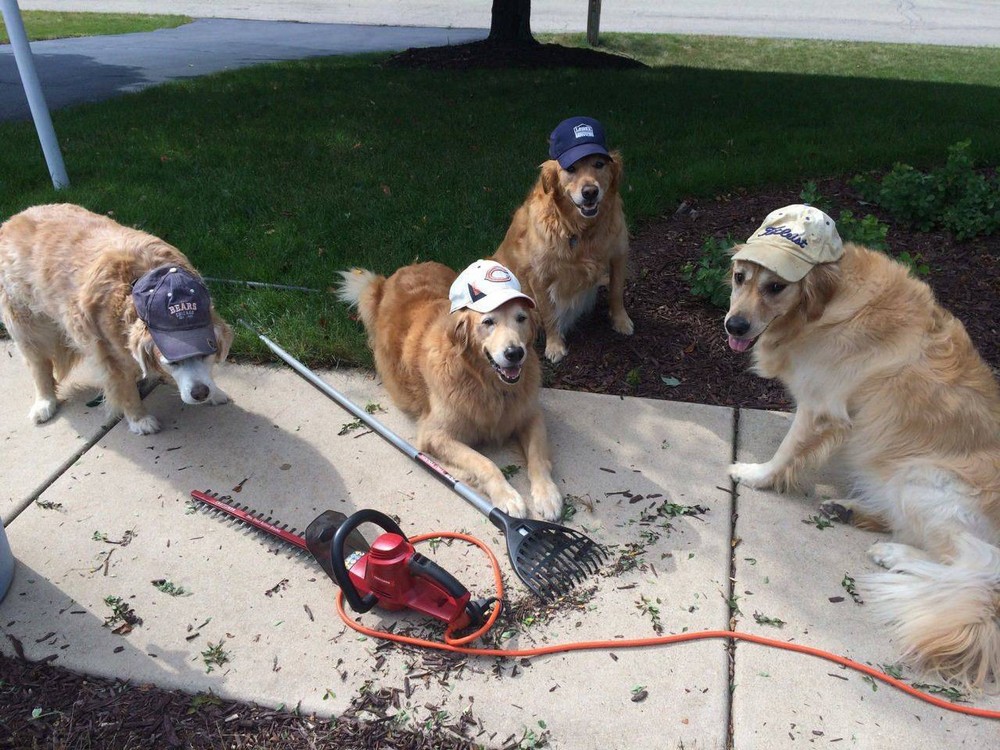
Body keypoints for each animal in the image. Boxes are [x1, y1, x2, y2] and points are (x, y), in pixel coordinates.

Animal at [0, 203, 232, 438]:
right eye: (172, 363)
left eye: (206, 355)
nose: (200, 393)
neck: (143, 282)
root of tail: (15, 217)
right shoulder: (109, 357)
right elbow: (125, 391)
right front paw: (139, 419)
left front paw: (215, 392)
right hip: (26, 325)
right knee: (39, 366)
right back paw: (44, 403)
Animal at [336, 262, 564, 524]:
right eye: (488, 322)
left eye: (521, 318)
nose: (515, 353)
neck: (486, 384)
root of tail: (407, 268)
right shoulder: (435, 435)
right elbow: (485, 463)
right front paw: (507, 497)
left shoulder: (530, 415)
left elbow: (537, 457)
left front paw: (547, 495)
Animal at [492, 117, 632, 364]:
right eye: (571, 169)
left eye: (599, 164)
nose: (590, 192)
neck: (581, 231)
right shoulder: (539, 276)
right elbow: (549, 314)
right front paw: (555, 346)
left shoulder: (618, 253)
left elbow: (616, 291)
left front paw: (621, 321)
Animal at [724, 203, 1000, 692]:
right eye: (740, 277)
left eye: (776, 287)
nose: (733, 324)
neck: (826, 305)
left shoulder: (821, 404)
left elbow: (788, 450)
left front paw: (756, 475)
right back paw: (849, 510)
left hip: (922, 478)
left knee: (980, 565)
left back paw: (894, 554)